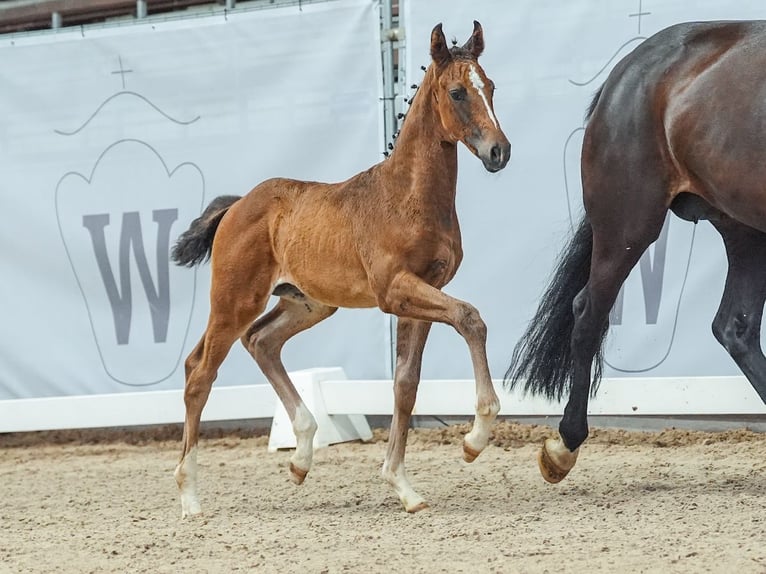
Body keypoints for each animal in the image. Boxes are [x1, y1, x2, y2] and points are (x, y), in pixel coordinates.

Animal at [172, 21, 510, 516]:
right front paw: (475, 439)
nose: (499, 151)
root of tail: (235, 207)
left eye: (490, 86)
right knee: (199, 372)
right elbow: (471, 318)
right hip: (234, 301)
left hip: (308, 304)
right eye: (457, 92)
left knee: (261, 341)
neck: (407, 197)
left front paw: (402, 485)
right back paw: (191, 497)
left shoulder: (421, 294)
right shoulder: (395, 291)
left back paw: (301, 458)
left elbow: (406, 384)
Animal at [510, 20, 766, 484]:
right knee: (588, 311)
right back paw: (564, 445)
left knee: (736, 328)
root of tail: (623, 72)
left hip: (746, 229)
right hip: (629, 224)